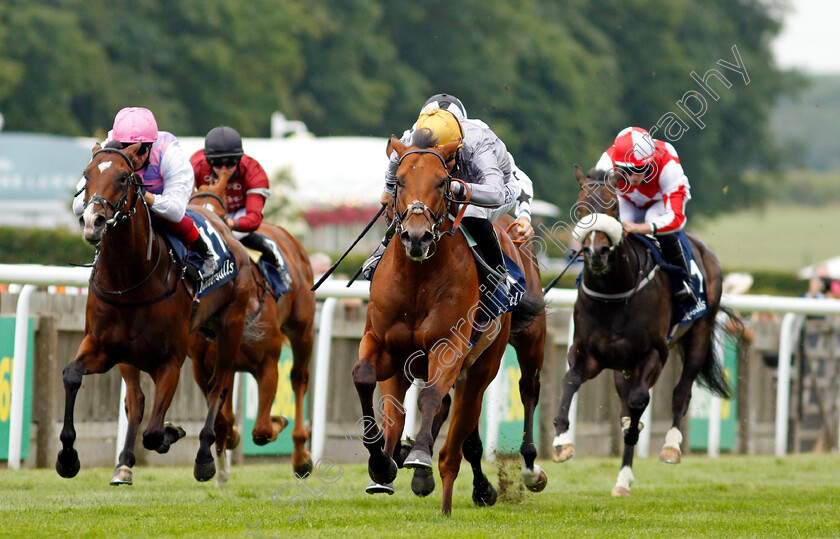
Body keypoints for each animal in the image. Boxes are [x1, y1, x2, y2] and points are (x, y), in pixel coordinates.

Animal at [58, 141, 251, 484]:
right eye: (86, 174)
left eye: (123, 177)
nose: (93, 221)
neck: (130, 280)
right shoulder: (103, 347)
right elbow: (72, 375)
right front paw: (68, 458)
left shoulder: (170, 362)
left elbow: (153, 433)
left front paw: (172, 434)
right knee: (139, 402)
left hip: (231, 326)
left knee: (217, 388)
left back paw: (205, 457)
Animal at [189, 172, 316, 486]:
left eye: (222, 216)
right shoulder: (202, 365)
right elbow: (222, 418)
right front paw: (227, 443)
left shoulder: (268, 364)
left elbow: (260, 430)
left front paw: (279, 419)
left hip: (303, 330)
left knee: (299, 378)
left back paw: (301, 457)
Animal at [352, 135, 544, 516]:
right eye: (399, 182)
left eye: (443, 182)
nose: (416, 237)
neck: (418, 280)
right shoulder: (382, 345)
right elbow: (364, 377)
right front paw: (381, 462)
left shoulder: (449, 346)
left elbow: (430, 398)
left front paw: (418, 456)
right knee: (423, 413)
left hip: (506, 352)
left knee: (523, 391)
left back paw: (521, 472)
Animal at [552, 166, 728, 498]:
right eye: (580, 209)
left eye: (612, 207)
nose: (595, 252)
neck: (613, 293)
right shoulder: (587, 352)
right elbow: (569, 380)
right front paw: (562, 442)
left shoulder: (653, 354)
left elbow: (637, 404)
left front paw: (634, 430)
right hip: (623, 366)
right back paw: (622, 479)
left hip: (698, 333)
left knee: (680, 392)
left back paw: (670, 447)